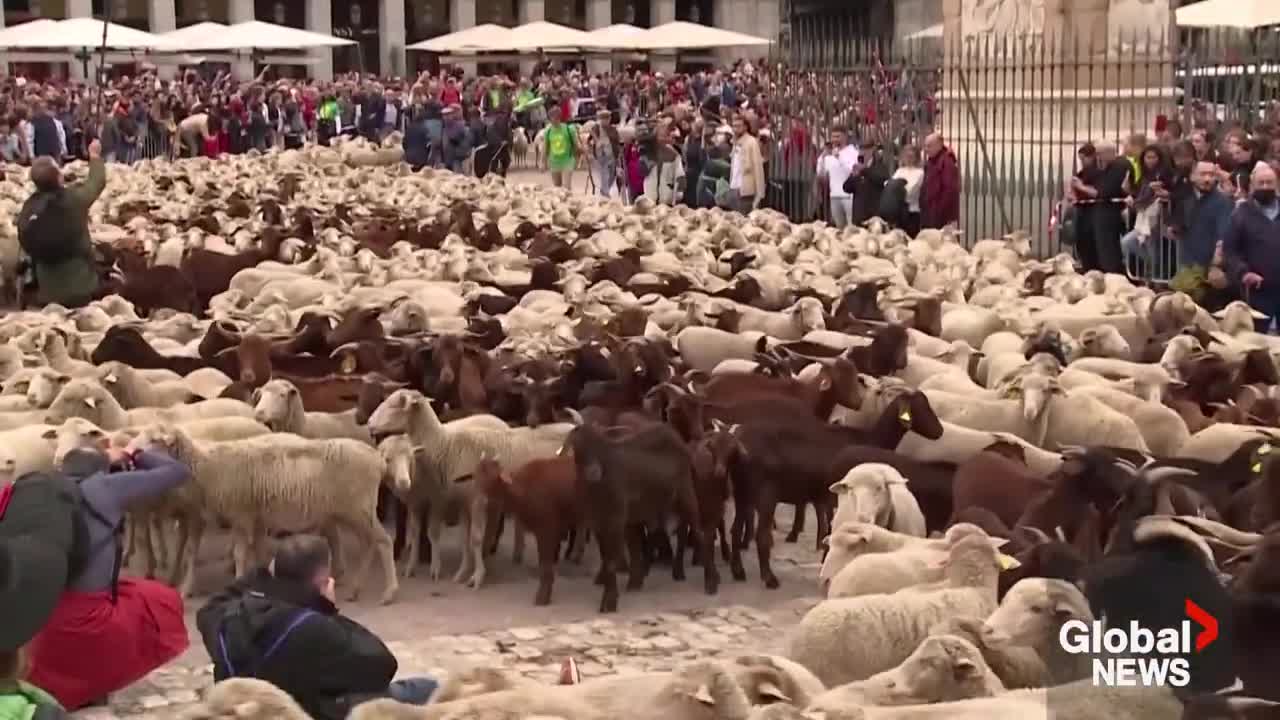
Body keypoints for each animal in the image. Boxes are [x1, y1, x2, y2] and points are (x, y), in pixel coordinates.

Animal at [125, 422, 396, 602]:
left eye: (154, 440)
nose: (129, 452)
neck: (205, 466)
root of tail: (377, 459)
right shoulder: (245, 516)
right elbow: (253, 550)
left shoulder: (241, 514)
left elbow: (240, 553)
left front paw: (238, 583)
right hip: (352, 512)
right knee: (369, 544)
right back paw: (356, 588)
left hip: (358, 508)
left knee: (383, 542)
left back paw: (388, 592)